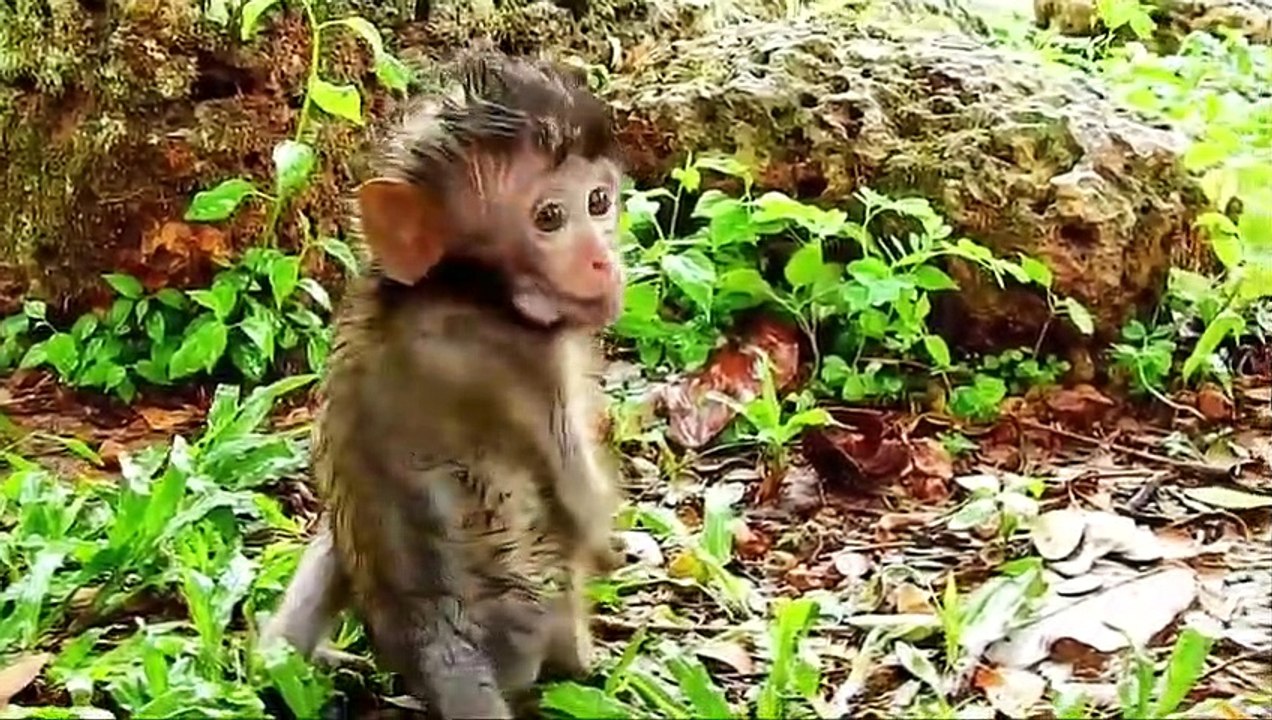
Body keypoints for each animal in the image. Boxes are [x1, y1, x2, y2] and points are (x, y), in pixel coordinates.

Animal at [259, 51, 627, 718]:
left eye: (598, 201)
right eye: (550, 218)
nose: (602, 262)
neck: (463, 286)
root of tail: (436, 640)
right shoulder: (530, 366)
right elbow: (581, 508)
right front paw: (611, 548)